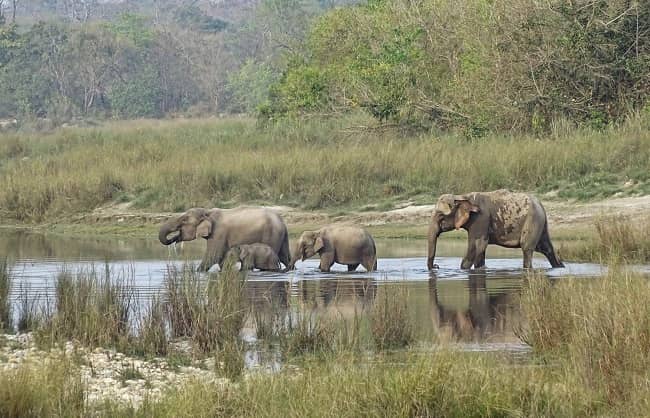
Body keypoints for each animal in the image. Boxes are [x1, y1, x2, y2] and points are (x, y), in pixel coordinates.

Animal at [158, 206, 290, 272]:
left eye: (184, 220)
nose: (174, 240)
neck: (208, 212)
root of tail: (282, 222)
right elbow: (221, 259)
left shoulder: (218, 233)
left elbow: (213, 256)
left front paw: (196, 272)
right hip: (281, 236)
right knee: (285, 257)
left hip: (271, 235)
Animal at [426, 190, 560, 272]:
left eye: (440, 216)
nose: (437, 266)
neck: (462, 197)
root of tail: (541, 205)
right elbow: (480, 250)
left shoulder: (480, 219)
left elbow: (476, 247)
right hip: (540, 223)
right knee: (548, 249)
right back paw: (559, 267)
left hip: (533, 221)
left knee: (527, 248)